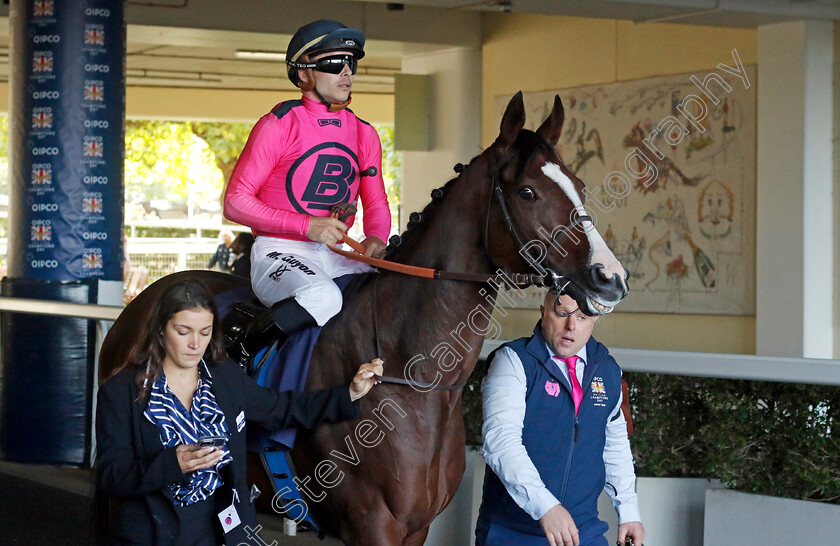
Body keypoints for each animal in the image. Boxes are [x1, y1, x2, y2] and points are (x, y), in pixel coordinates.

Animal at [98, 91, 628, 540]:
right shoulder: (373, 525)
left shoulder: (417, 528)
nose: (610, 278)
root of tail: (141, 301)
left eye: (580, 185)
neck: (413, 378)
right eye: (528, 192)